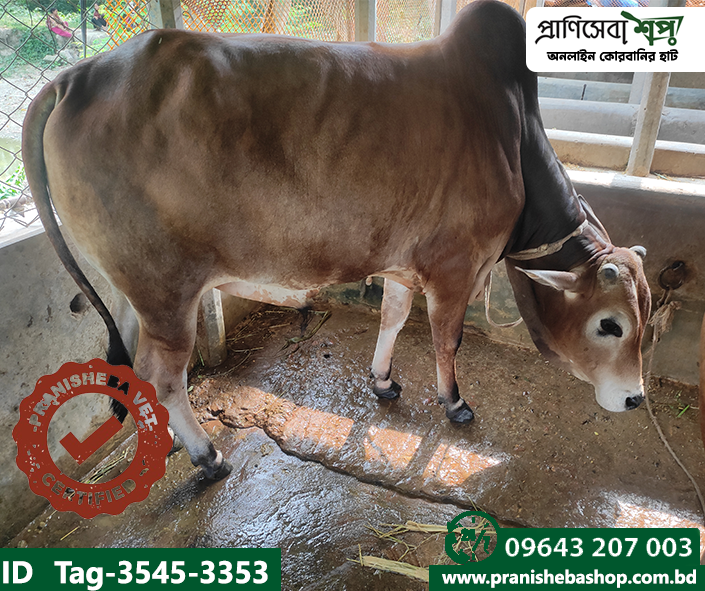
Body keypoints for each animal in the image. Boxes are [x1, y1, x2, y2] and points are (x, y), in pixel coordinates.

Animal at [22, 0, 651, 480]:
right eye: (609, 324)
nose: (635, 398)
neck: (513, 135)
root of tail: (74, 77)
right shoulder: (455, 266)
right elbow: (446, 340)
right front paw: (454, 403)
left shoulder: (403, 264)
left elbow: (393, 319)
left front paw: (383, 380)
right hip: (165, 289)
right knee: (164, 374)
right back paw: (207, 454)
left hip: (133, 291)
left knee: (139, 366)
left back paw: (172, 440)